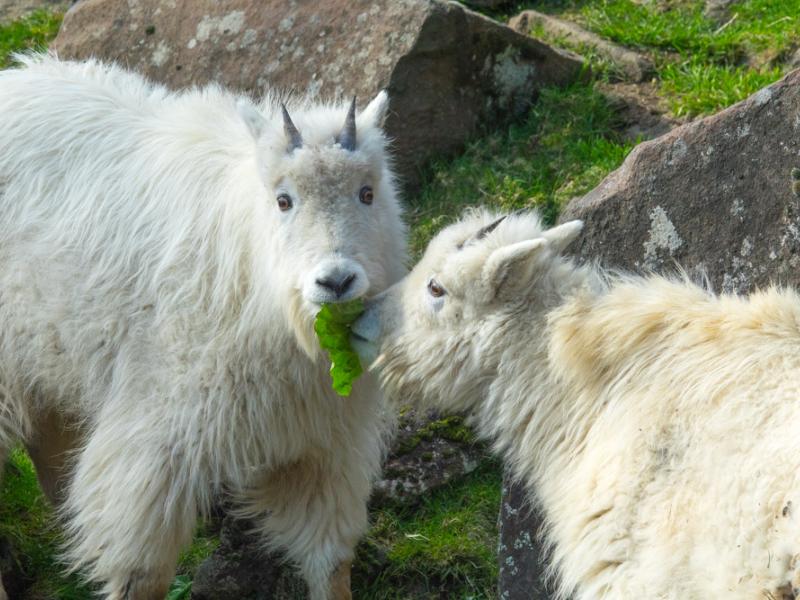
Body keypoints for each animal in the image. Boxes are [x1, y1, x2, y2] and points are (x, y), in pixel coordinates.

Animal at [0, 52, 410, 600]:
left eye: (367, 192)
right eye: (283, 200)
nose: (336, 281)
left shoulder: (322, 445)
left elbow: (329, 560)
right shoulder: (155, 438)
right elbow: (141, 574)